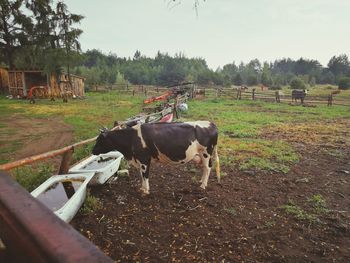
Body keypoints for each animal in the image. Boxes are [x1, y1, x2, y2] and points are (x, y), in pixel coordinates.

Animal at [91, 121, 220, 194]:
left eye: (100, 140)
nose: (92, 151)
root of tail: (211, 123)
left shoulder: (144, 159)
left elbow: (145, 175)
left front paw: (146, 190)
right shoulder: (139, 160)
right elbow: (141, 175)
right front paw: (142, 188)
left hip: (206, 153)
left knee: (208, 168)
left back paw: (203, 185)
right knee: (205, 168)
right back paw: (201, 181)